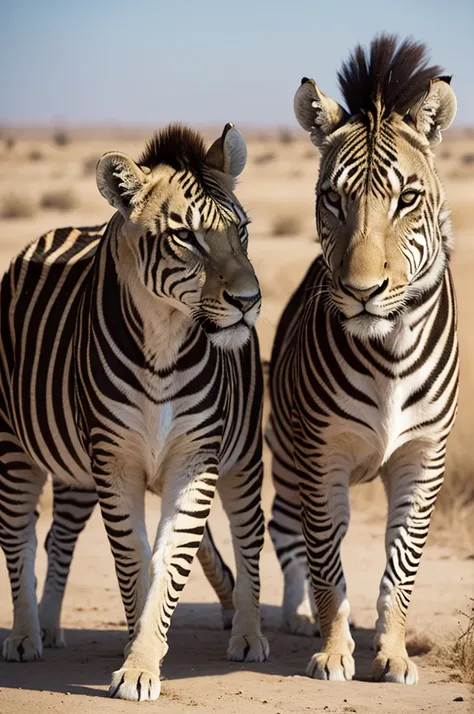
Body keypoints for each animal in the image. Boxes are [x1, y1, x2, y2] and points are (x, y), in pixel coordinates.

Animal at [0, 124, 266, 700]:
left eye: (243, 231)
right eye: (186, 237)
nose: (249, 302)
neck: (163, 345)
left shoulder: (196, 460)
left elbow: (170, 561)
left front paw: (143, 659)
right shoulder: (114, 461)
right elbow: (133, 561)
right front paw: (139, 657)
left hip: (237, 462)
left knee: (247, 536)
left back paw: (248, 635)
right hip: (19, 450)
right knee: (21, 536)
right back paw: (27, 635)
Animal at [270, 36, 460, 680]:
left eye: (408, 199)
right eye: (332, 198)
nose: (360, 292)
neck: (390, 355)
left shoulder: (423, 458)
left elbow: (401, 567)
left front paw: (394, 654)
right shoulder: (321, 453)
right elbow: (326, 562)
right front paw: (333, 653)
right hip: (288, 456)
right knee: (288, 536)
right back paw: (295, 620)